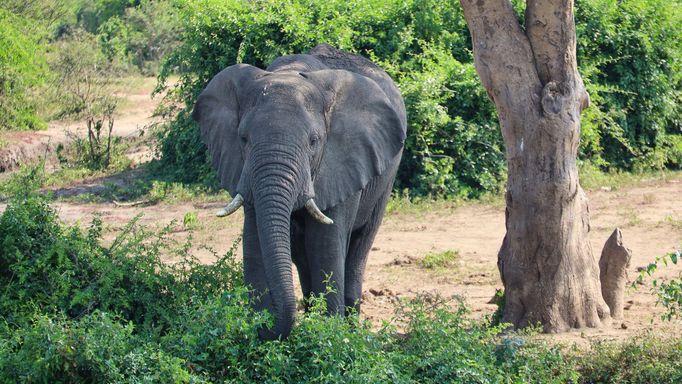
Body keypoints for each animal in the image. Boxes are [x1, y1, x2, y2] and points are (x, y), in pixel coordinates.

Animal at [191, 44, 404, 340]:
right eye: (243, 138)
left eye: (313, 141)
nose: (266, 325)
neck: (291, 73)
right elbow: (254, 239)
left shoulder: (341, 160)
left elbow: (325, 244)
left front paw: (329, 335)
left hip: (386, 180)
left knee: (359, 246)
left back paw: (352, 328)